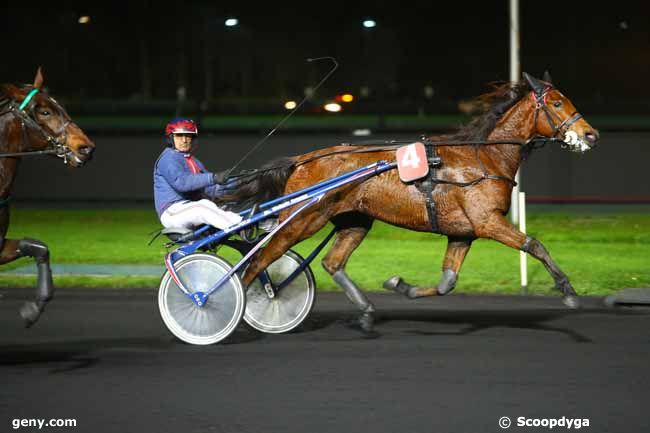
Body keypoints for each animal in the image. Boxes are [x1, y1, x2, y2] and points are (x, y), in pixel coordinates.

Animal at [219, 73, 596, 330]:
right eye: (558, 102)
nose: (591, 134)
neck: (484, 159)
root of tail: (303, 159)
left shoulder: (463, 232)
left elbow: (447, 283)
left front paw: (401, 286)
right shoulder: (487, 222)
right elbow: (534, 244)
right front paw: (568, 290)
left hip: (355, 220)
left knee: (332, 262)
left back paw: (366, 311)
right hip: (301, 219)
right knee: (261, 258)